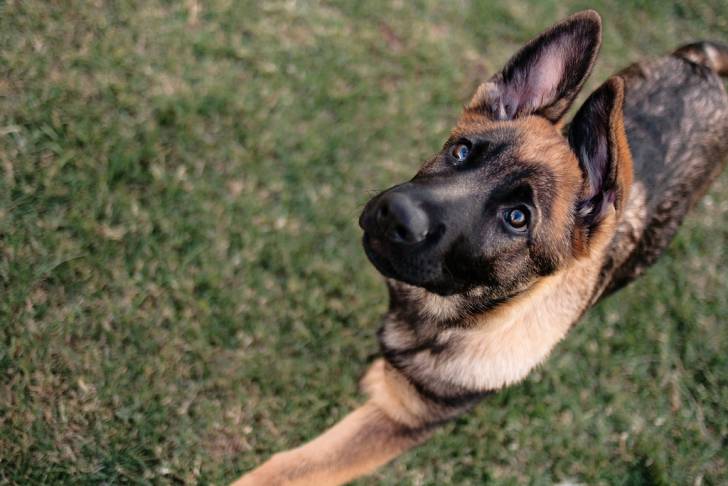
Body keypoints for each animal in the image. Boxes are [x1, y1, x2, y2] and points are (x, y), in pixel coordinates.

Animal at [235, 10, 728, 485]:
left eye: (517, 218)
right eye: (461, 151)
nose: (394, 214)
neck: (451, 312)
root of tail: (707, 68)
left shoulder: (407, 419)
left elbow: (290, 468)